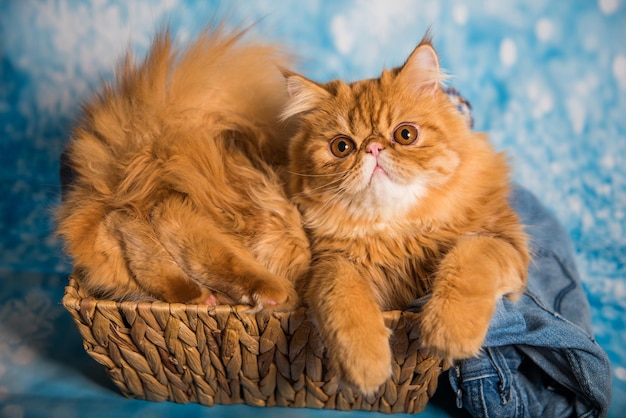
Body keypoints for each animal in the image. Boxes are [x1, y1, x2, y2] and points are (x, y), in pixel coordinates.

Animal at [280, 33, 528, 396]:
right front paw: (366, 366)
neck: (397, 230)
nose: (373, 148)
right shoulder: (329, 263)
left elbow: (468, 259)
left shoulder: (502, 241)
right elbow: (344, 295)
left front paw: (449, 332)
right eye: (342, 147)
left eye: (405, 134)